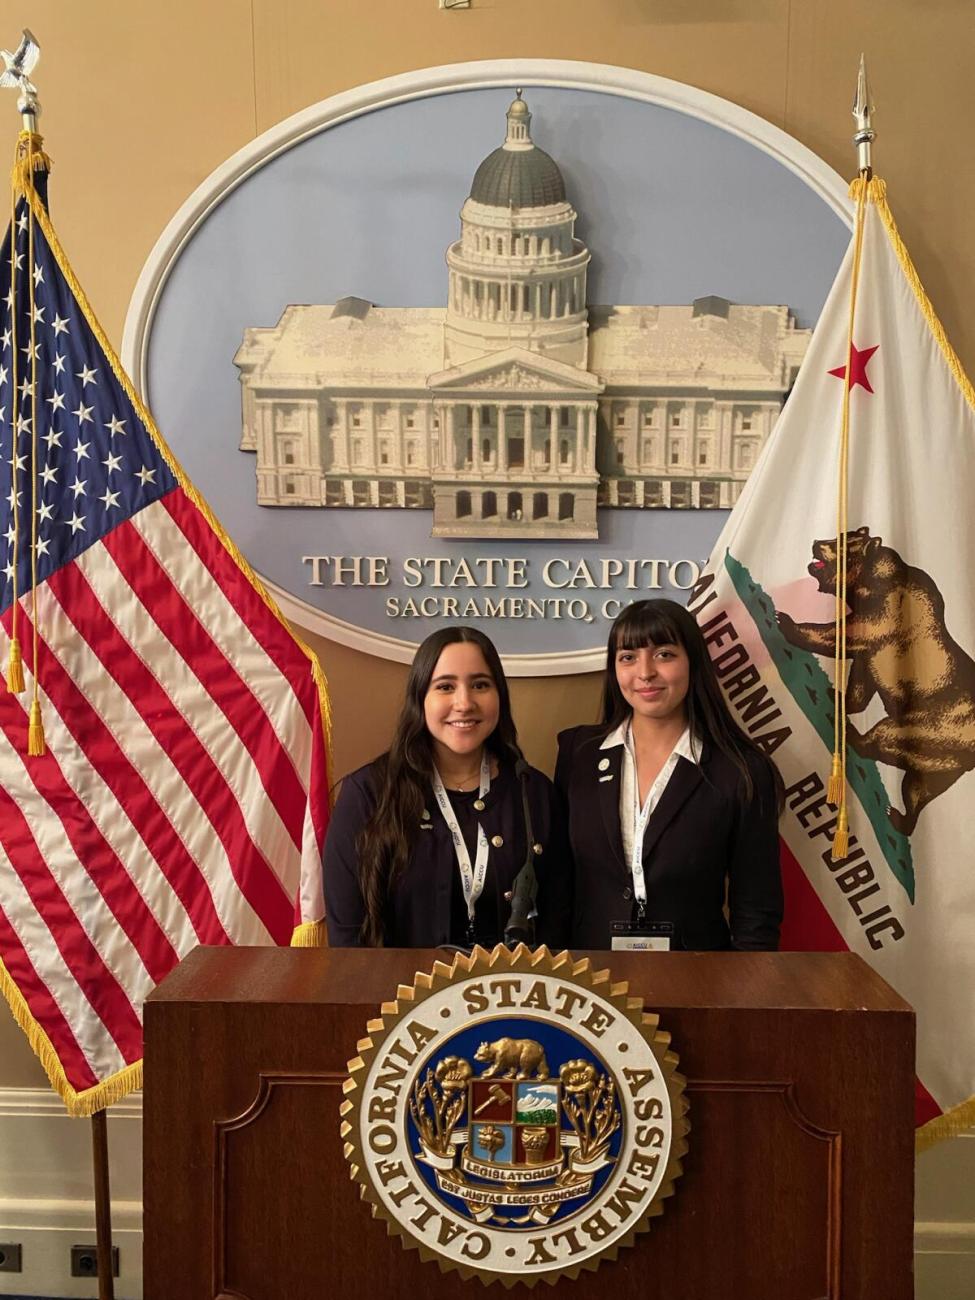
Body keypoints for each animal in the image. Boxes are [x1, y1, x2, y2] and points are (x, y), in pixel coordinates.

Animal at [780, 525, 975, 837]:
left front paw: (786, 621)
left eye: (841, 543)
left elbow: (843, 634)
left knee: (886, 736)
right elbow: (861, 678)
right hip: (942, 761)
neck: (866, 582)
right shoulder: (872, 646)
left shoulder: (886, 610)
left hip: (933, 724)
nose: (816, 542)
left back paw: (850, 733)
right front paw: (840, 696)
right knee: (918, 789)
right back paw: (898, 817)